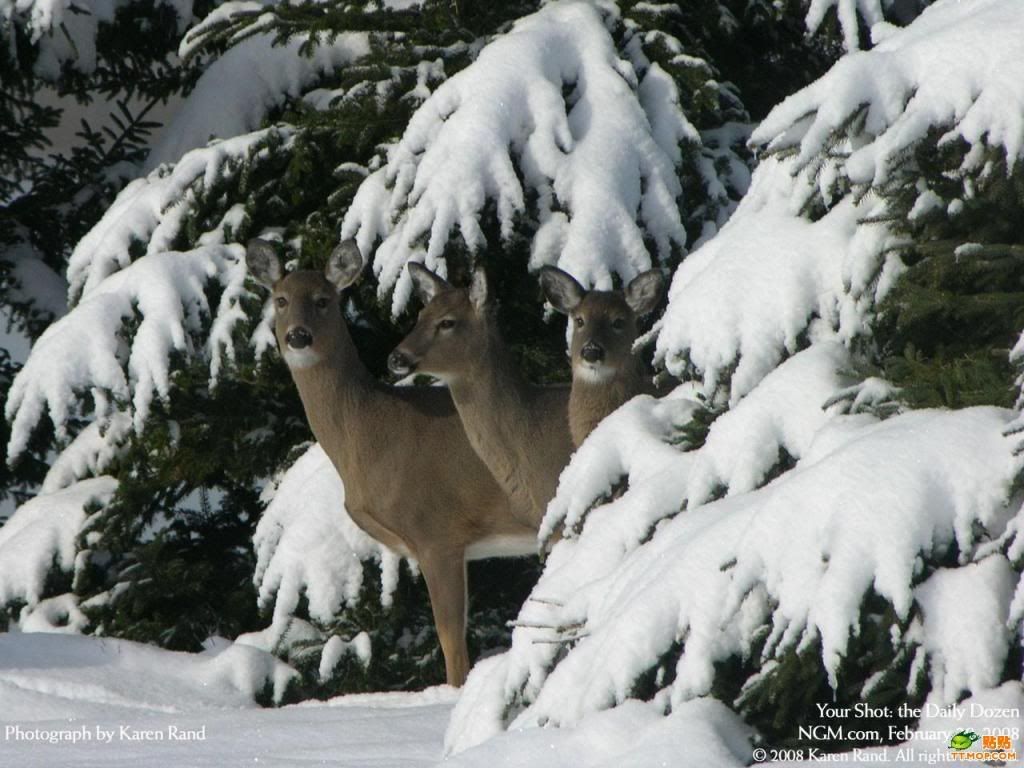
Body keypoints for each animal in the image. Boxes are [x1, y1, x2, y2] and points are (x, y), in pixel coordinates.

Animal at [247, 237, 540, 688]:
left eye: (323, 300)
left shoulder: (437, 531)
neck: (373, 432)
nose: (298, 336)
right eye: (280, 300)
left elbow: (451, 638)